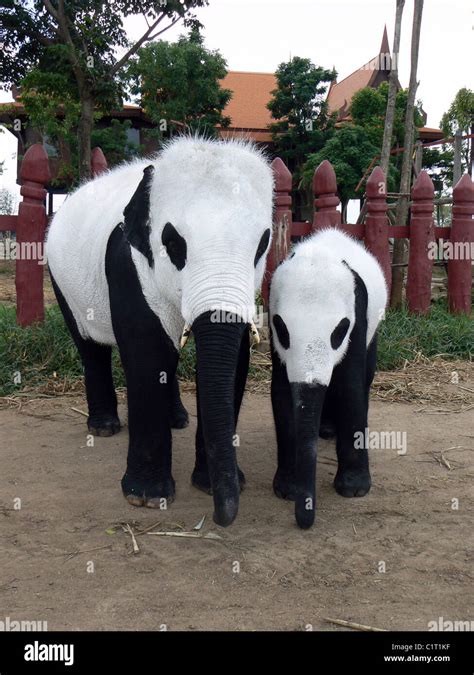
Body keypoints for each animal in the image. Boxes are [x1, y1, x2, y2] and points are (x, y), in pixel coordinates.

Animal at [47, 136, 274, 528]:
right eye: (173, 244)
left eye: (262, 245)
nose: (221, 517)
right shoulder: (127, 263)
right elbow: (147, 353)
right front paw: (147, 497)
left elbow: (232, 360)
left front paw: (212, 483)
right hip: (60, 278)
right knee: (89, 344)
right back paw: (103, 427)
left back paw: (177, 419)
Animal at [268, 230, 386, 532]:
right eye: (283, 330)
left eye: (338, 332)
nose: (304, 521)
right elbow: (282, 393)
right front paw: (289, 488)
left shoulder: (358, 312)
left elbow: (350, 388)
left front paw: (354, 488)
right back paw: (326, 428)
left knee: (366, 376)